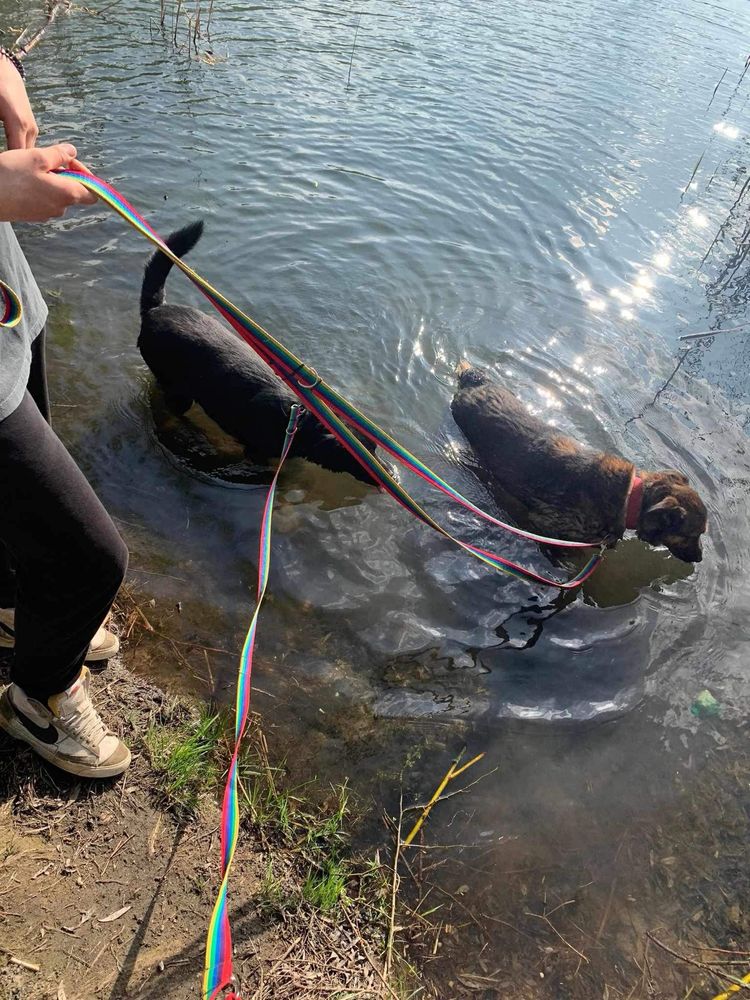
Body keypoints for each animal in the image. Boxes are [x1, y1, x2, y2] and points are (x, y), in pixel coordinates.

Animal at [137, 220, 376, 484]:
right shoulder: (256, 451)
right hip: (178, 392)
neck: (297, 423)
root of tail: (154, 309)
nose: (391, 476)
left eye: (376, 449)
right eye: (366, 463)